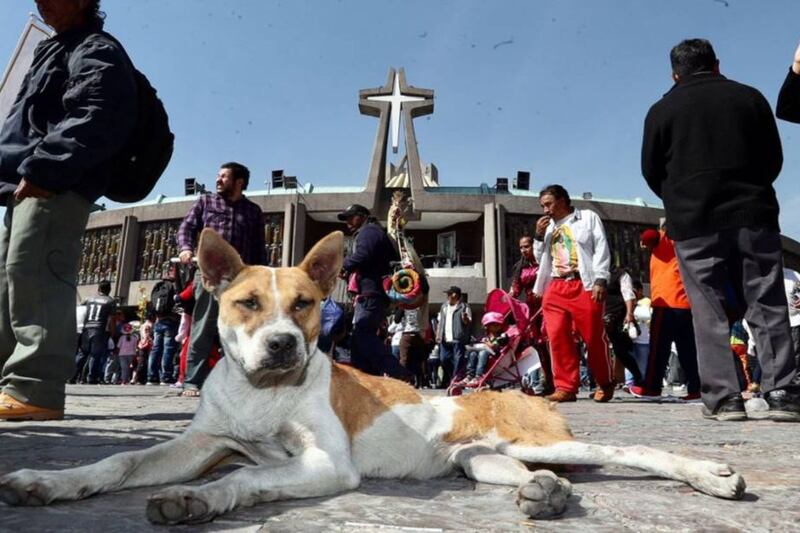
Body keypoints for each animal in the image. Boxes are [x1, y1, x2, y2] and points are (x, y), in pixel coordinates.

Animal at [0, 230, 744, 524]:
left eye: (305, 303)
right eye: (247, 303)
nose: (282, 345)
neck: (260, 397)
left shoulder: (326, 464)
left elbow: (243, 480)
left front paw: (197, 501)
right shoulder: (202, 443)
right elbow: (122, 461)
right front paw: (51, 481)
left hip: (548, 437)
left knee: (632, 449)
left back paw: (712, 474)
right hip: (480, 460)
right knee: (535, 475)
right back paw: (547, 494)